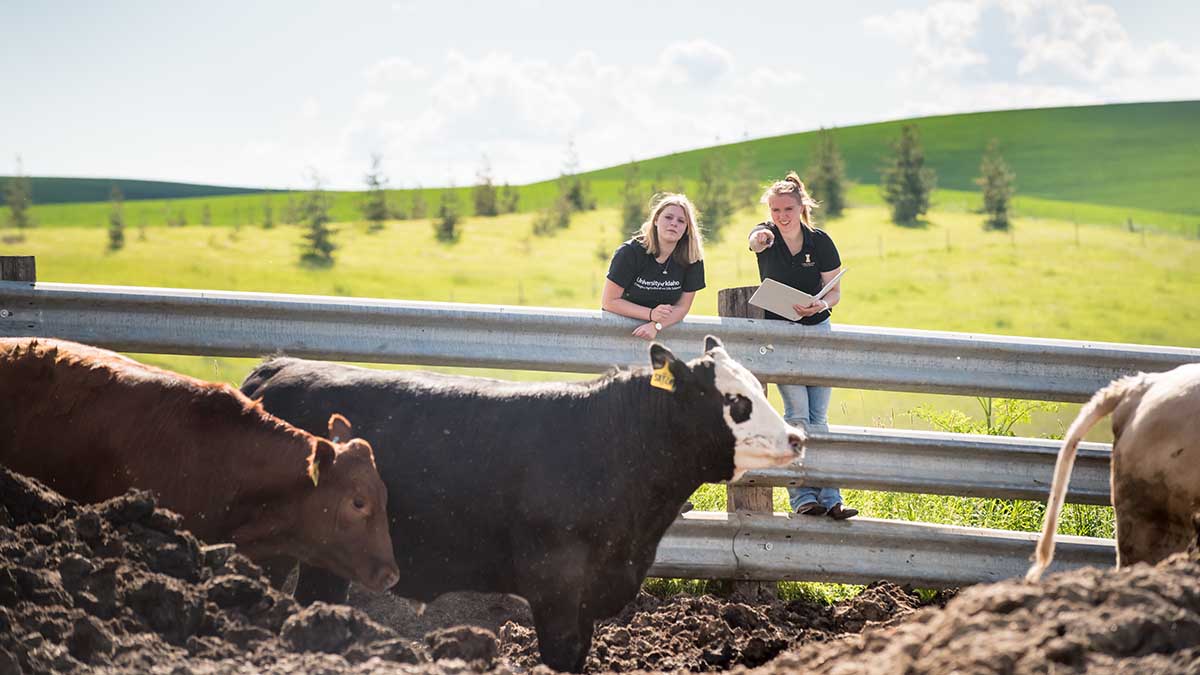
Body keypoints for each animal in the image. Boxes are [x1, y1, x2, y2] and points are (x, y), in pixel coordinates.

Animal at [241, 333, 806, 667]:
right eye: (735, 401)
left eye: (760, 388)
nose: (798, 438)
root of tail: (277, 367)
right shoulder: (555, 584)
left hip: (323, 561)